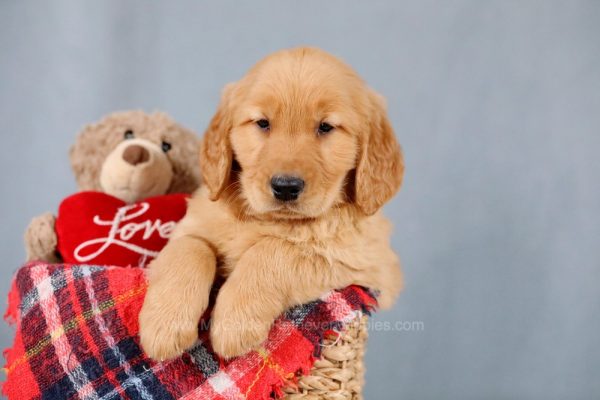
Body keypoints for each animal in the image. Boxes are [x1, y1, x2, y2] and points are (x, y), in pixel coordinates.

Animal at [138, 46, 406, 360]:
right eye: (263, 123)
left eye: (326, 127)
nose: (286, 187)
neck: (270, 220)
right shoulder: (190, 226)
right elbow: (189, 247)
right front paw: (164, 324)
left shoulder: (365, 262)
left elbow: (275, 250)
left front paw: (235, 321)